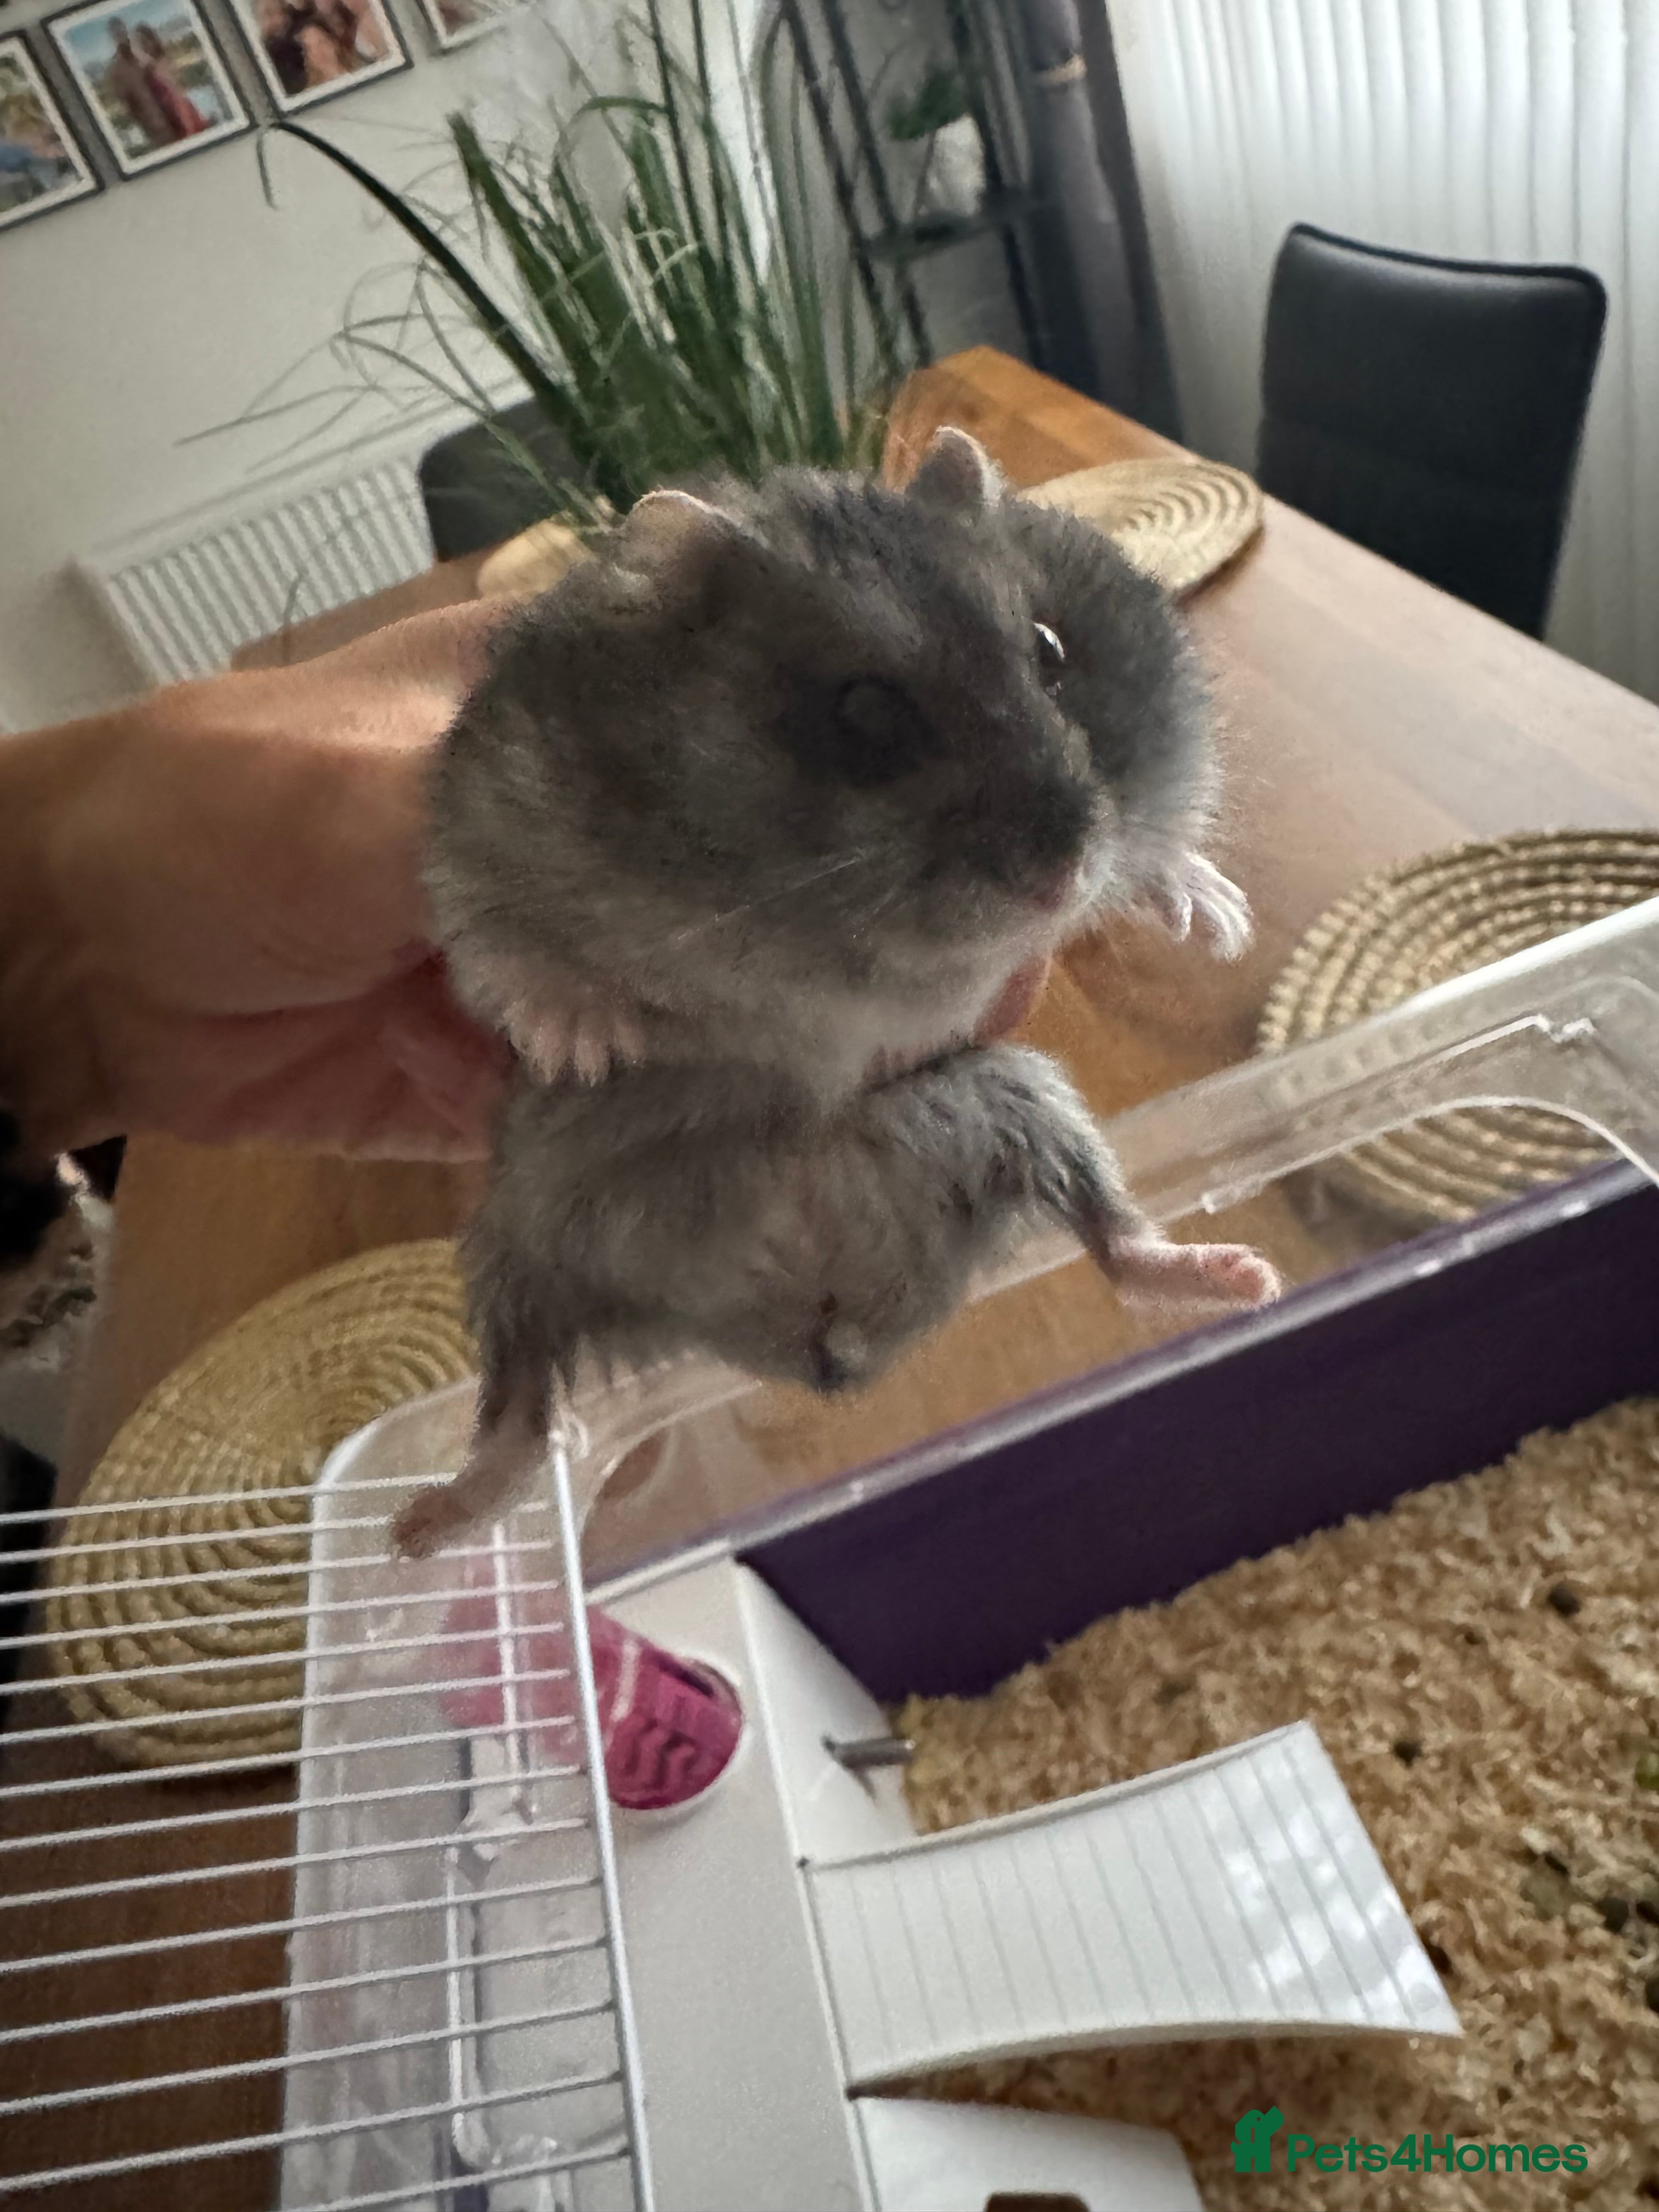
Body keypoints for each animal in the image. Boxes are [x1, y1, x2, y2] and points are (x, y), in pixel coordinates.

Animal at [392, 428, 1277, 1557]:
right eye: (864, 713)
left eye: (1050, 650)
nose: (1063, 874)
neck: (827, 929)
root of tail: (816, 1340)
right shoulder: (482, 825)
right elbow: (506, 949)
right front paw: (582, 1042)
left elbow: (1162, 851)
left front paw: (1215, 918)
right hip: (521, 1242)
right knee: (519, 1408)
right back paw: (419, 1527)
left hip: (1017, 1097)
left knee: (1116, 1244)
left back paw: (1243, 1278)